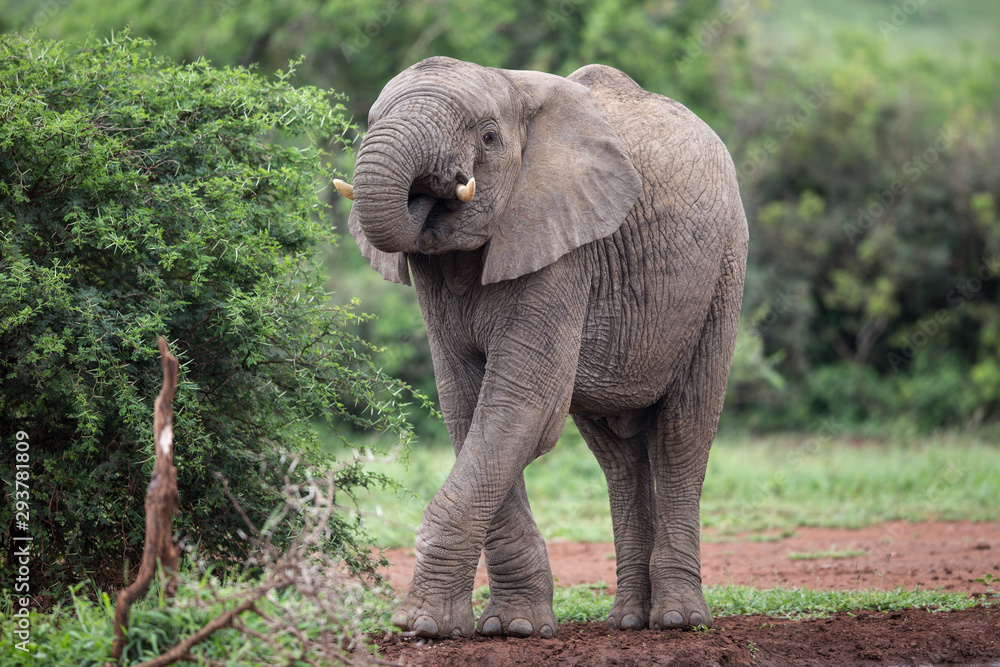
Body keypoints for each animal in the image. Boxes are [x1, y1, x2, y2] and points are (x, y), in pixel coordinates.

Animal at [334, 56, 748, 639]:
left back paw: (677, 620)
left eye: (488, 137)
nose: (430, 190)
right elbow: (468, 408)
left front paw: (424, 624)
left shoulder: (563, 249)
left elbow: (521, 408)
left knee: (681, 433)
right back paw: (628, 621)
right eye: (370, 121)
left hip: (723, 270)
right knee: (617, 456)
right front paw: (510, 627)